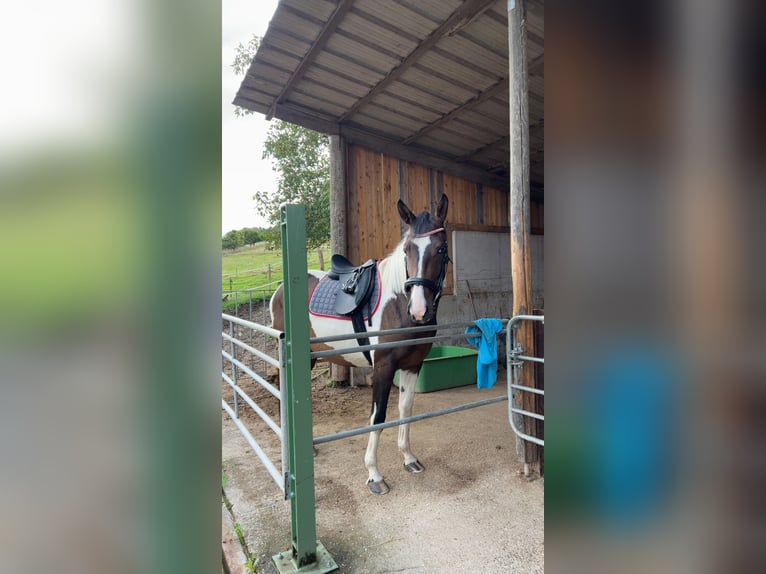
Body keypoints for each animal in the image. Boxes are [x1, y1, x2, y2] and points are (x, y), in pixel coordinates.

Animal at [270, 194, 450, 495]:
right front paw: (374, 475)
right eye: (407, 251)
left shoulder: (413, 365)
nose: (419, 311)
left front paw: (409, 458)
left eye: (441, 248)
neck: (397, 303)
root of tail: (279, 289)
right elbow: (377, 418)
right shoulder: (383, 368)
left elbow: (406, 410)